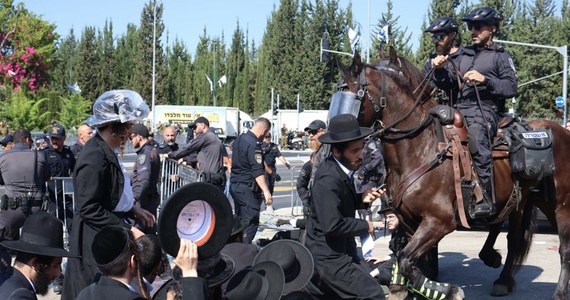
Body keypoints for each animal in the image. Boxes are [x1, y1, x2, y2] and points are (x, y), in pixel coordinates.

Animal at [332, 50, 568, 298]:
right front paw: (410, 287)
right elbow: (409, 260)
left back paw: (558, 291)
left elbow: (406, 260)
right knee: (511, 238)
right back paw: (501, 275)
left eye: (354, 96)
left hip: (559, 206)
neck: (419, 148)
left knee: (564, 248)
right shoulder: (409, 222)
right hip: (521, 201)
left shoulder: (440, 221)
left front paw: (445, 290)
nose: (332, 137)